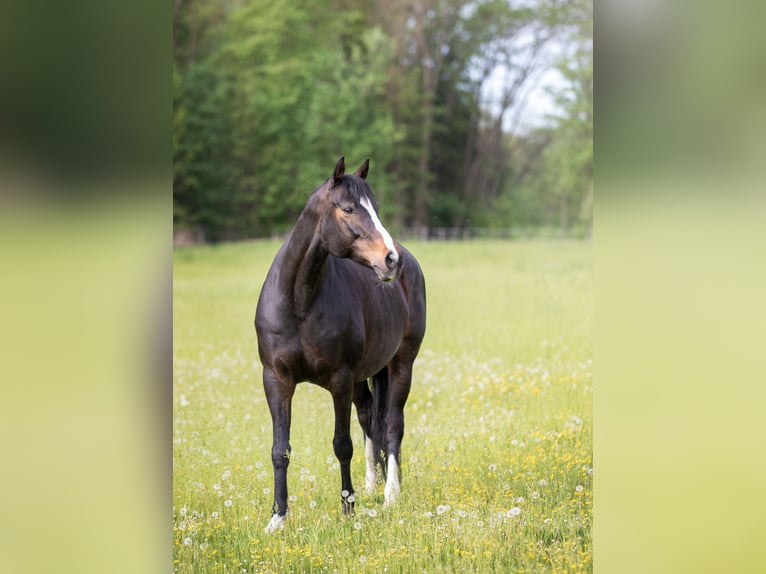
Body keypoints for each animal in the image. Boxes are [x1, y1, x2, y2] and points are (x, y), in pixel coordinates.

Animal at [254, 157, 426, 533]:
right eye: (348, 208)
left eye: (376, 207)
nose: (390, 260)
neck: (299, 301)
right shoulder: (276, 380)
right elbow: (280, 450)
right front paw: (277, 518)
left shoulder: (340, 381)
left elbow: (342, 444)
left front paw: (348, 509)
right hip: (365, 378)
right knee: (370, 420)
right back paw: (373, 485)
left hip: (401, 364)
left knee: (392, 424)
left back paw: (391, 493)